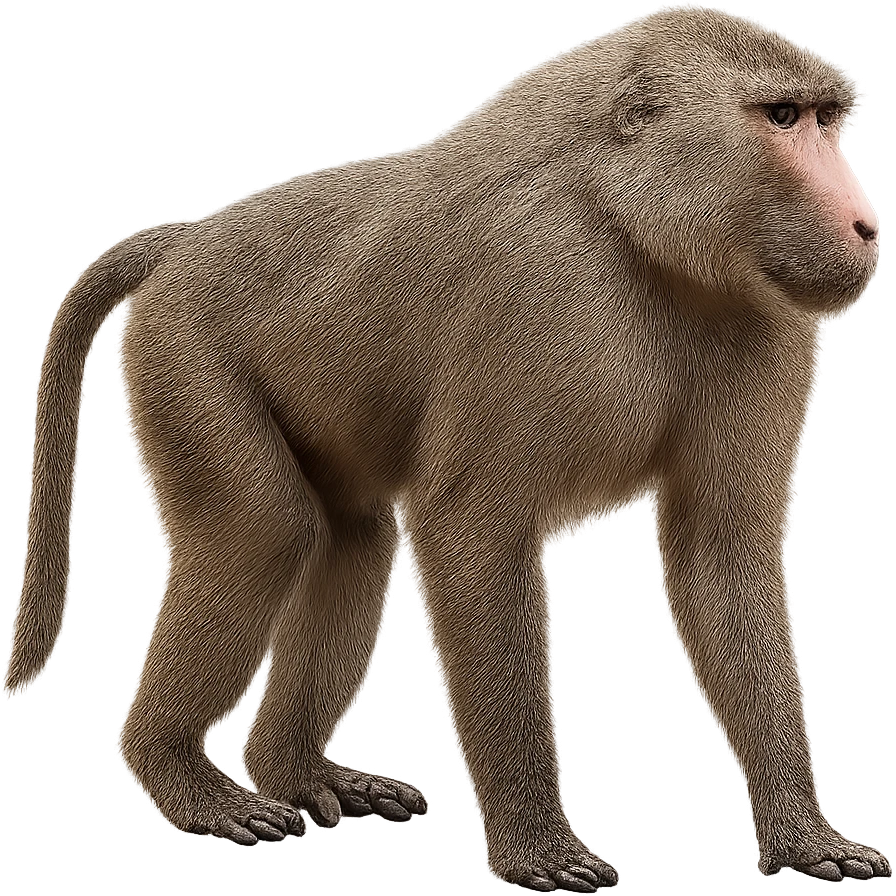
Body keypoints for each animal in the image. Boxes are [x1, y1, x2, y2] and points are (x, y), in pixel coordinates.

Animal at [5, 4, 890, 890]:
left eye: (824, 119)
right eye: (782, 117)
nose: (866, 225)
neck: (631, 224)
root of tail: (185, 240)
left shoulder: (768, 317)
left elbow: (721, 555)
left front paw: (806, 842)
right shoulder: (540, 282)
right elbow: (474, 526)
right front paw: (539, 852)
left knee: (349, 538)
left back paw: (299, 773)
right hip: (186, 350)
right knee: (264, 530)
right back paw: (182, 778)